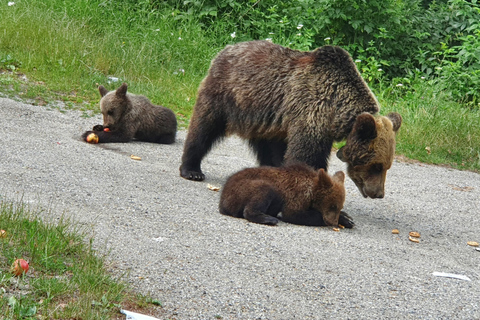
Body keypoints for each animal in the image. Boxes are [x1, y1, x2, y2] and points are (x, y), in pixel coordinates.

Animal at [180, 41, 402, 199]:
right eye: (377, 166)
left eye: (387, 166)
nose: (378, 194)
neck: (336, 110)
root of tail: (228, 48)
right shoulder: (311, 112)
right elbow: (306, 156)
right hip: (226, 94)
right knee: (204, 127)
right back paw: (192, 169)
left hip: (265, 118)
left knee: (269, 147)